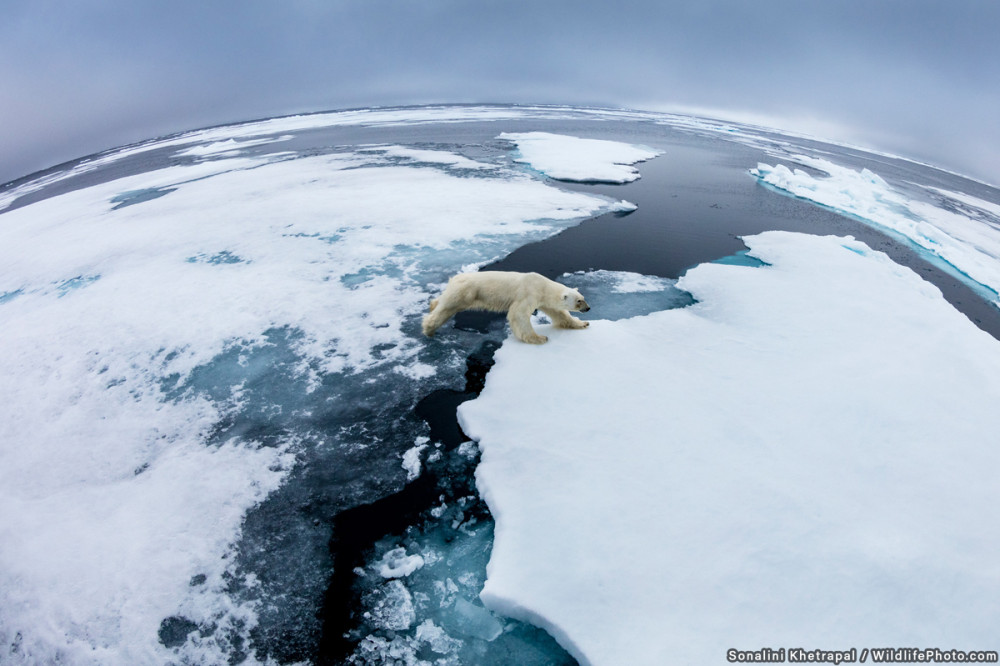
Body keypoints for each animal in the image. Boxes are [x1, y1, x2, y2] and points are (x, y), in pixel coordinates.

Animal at [420, 272, 588, 344]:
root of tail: (454, 279)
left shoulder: (543, 299)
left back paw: (432, 304)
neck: (542, 285)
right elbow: (518, 314)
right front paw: (540, 338)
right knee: (446, 308)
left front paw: (582, 323)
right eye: (579, 301)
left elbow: (559, 313)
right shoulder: (528, 293)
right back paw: (429, 329)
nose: (588, 308)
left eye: (583, 298)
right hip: (464, 292)